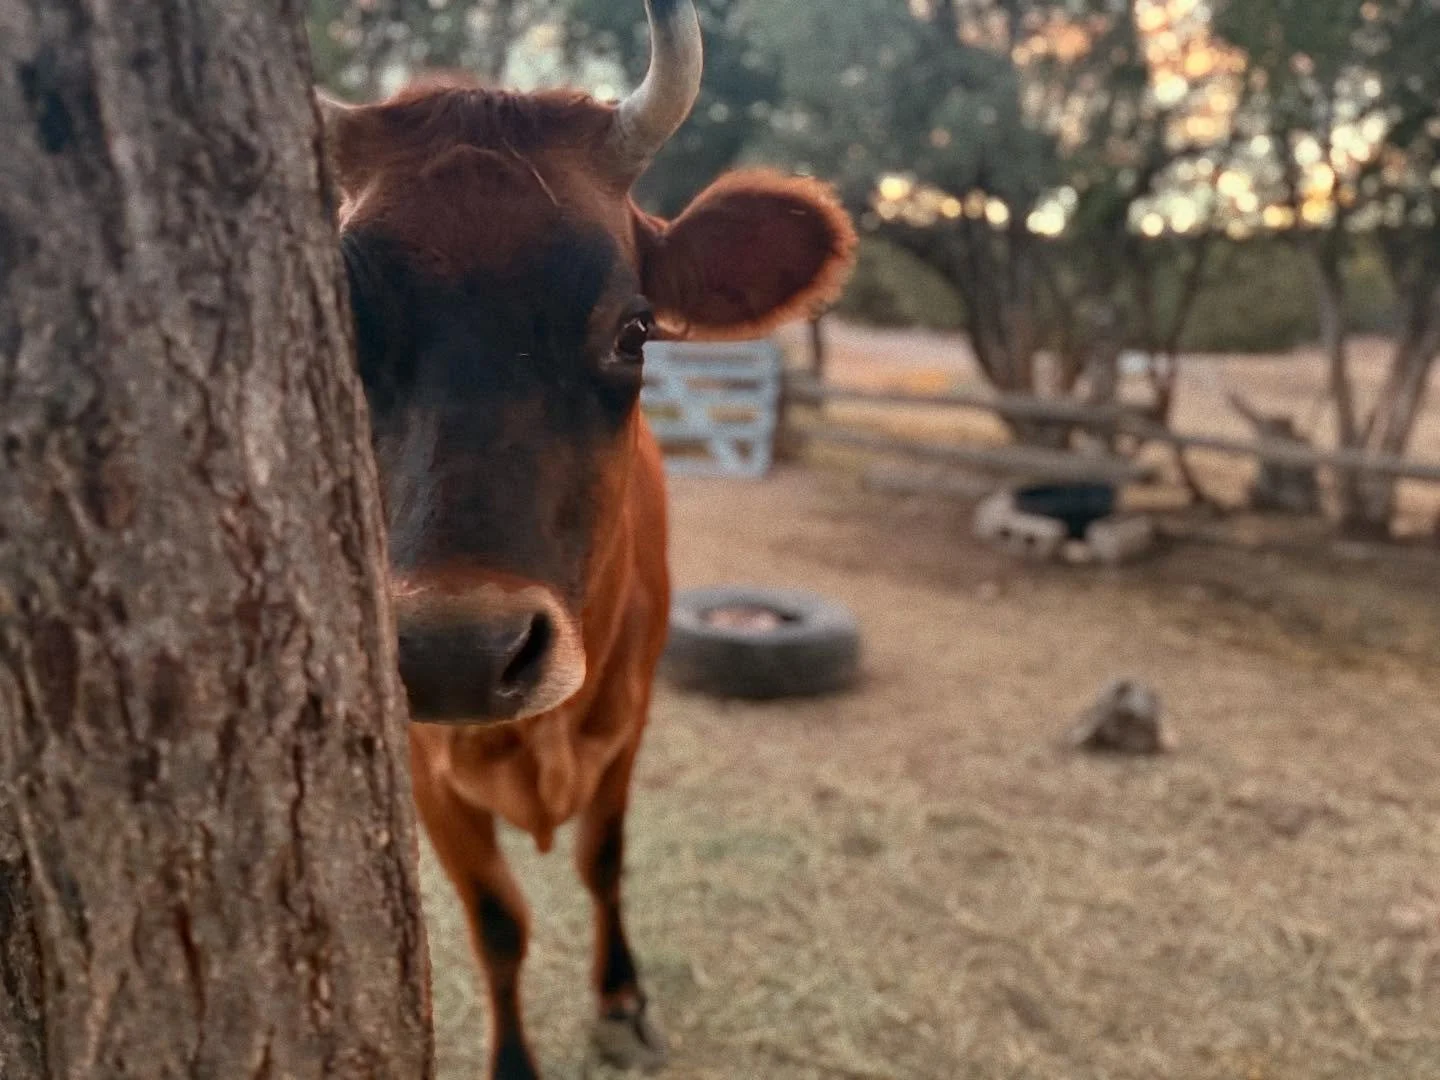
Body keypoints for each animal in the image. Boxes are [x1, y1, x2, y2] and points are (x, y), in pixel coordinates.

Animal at [318, 1, 855, 1075]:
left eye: (634, 329)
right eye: (345, 329)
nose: (459, 652)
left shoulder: (631, 720)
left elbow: (605, 862)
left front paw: (620, 999)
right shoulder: (427, 769)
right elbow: (496, 923)